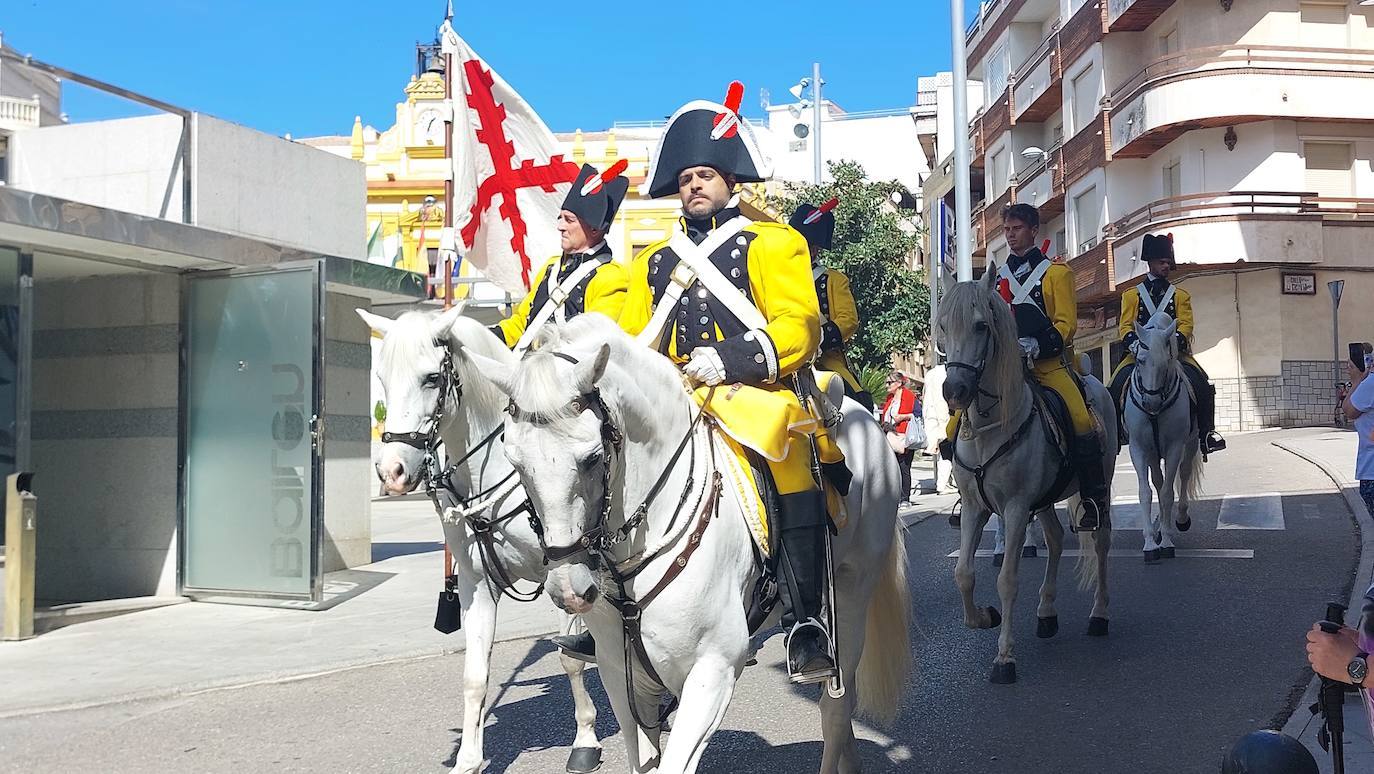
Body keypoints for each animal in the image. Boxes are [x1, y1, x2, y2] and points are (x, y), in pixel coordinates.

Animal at [357, 307, 604, 774]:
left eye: (431, 378)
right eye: (380, 377)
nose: (391, 472)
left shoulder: (572, 573)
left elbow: (572, 657)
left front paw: (585, 739)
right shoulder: (477, 584)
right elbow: (474, 676)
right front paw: (468, 759)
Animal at [464, 316, 912, 774]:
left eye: (591, 458)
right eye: (515, 462)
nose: (569, 589)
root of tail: (860, 416)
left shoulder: (711, 673)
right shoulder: (623, 680)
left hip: (852, 595)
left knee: (836, 704)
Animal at [934, 270, 1115, 684]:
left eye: (982, 326)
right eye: (942, 327)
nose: (954, 391)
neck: (989, 429)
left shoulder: (1015, 509)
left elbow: (1007, 580)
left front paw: (1004, 657)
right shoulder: (975, 508)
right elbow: (963, 573)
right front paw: (984, 617)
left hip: (1102, 486)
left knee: (1100, 543)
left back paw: (1099, 614)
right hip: (1045, 499)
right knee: (1056, 539)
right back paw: (1046, 613)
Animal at [1126, 313, 1203, 563]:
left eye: (1166, 361)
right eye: (1140, 360)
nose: (1151, 403)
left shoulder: (1174, 447)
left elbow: (1169, 493)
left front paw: (1167, 541)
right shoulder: (1139, 448)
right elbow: (1146, 492)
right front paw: (1150, 542)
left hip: (1191, 443)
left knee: (1184, 474)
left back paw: (1179, 519)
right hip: (1152, 452)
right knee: (1158, 482)